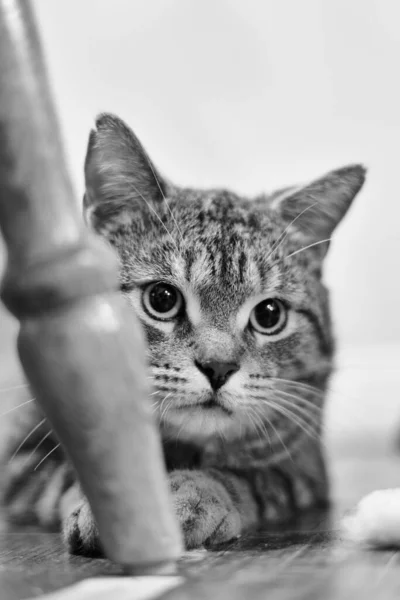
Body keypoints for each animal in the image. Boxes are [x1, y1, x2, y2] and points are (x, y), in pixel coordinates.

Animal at [2, 115, 366, 556]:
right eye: (162, 298)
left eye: (269, 314)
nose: (218, 367)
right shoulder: (20, 461)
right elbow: (77, 471)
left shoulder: (303, 467)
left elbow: (245, 476)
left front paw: (191, 492)